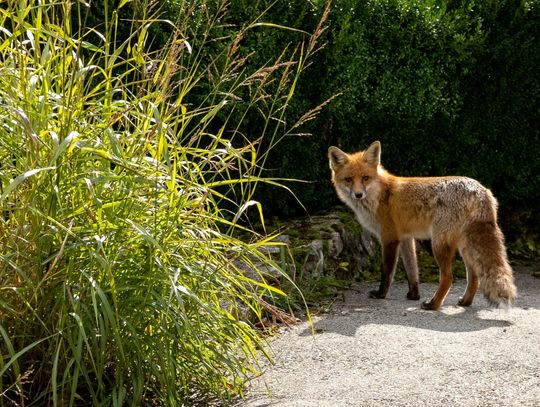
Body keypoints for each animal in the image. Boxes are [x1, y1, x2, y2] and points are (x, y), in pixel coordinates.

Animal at [326, 140, 516, 310]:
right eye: (349, 179)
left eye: (365, 178)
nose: (358, 194)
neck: (380, 195)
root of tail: (481, 190)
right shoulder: (406, 238)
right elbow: (412, 270)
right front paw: (414, 295)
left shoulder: (389, 238)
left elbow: (387, 272)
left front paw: (381, 294)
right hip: (463, 245)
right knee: (475, 275)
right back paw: (465, 302)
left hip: (439, 244)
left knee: (448, 277)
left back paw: (433, 304)